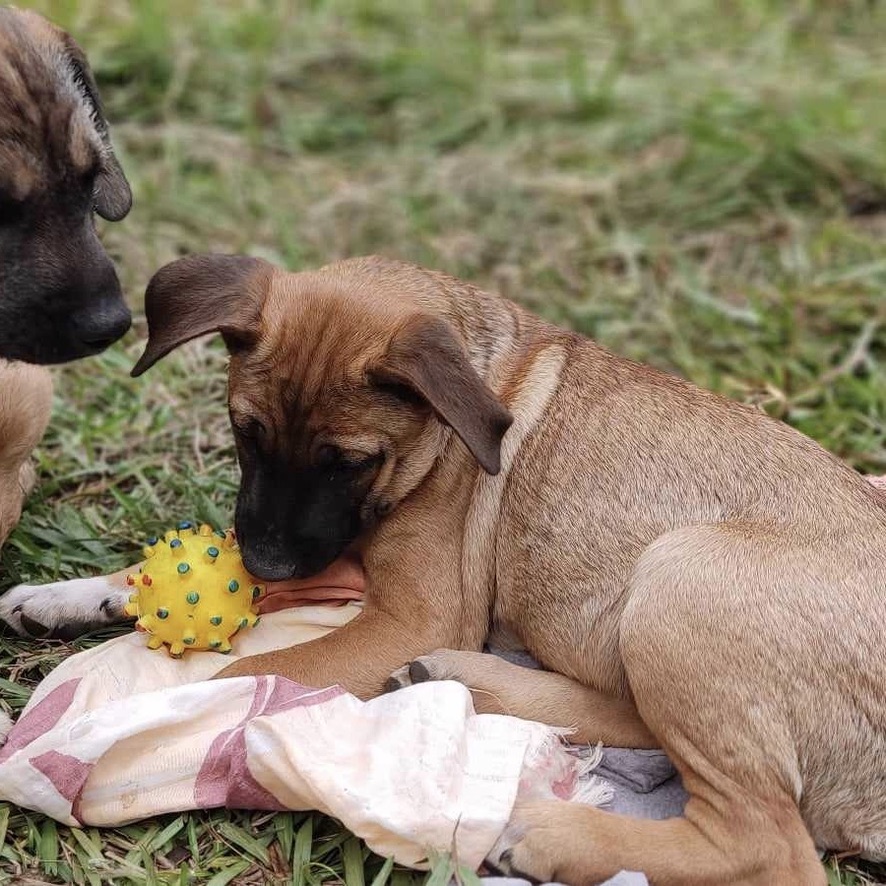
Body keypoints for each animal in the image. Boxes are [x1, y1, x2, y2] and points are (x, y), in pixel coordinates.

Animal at [130, 251, 886, 886]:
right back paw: (470, 682)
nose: (267, 562)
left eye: (349, 462)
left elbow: (248, 676)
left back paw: (543, 830)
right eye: (244, 432)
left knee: (769, 849)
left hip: (683, 573)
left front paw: (164, 720)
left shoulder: (416, 615)